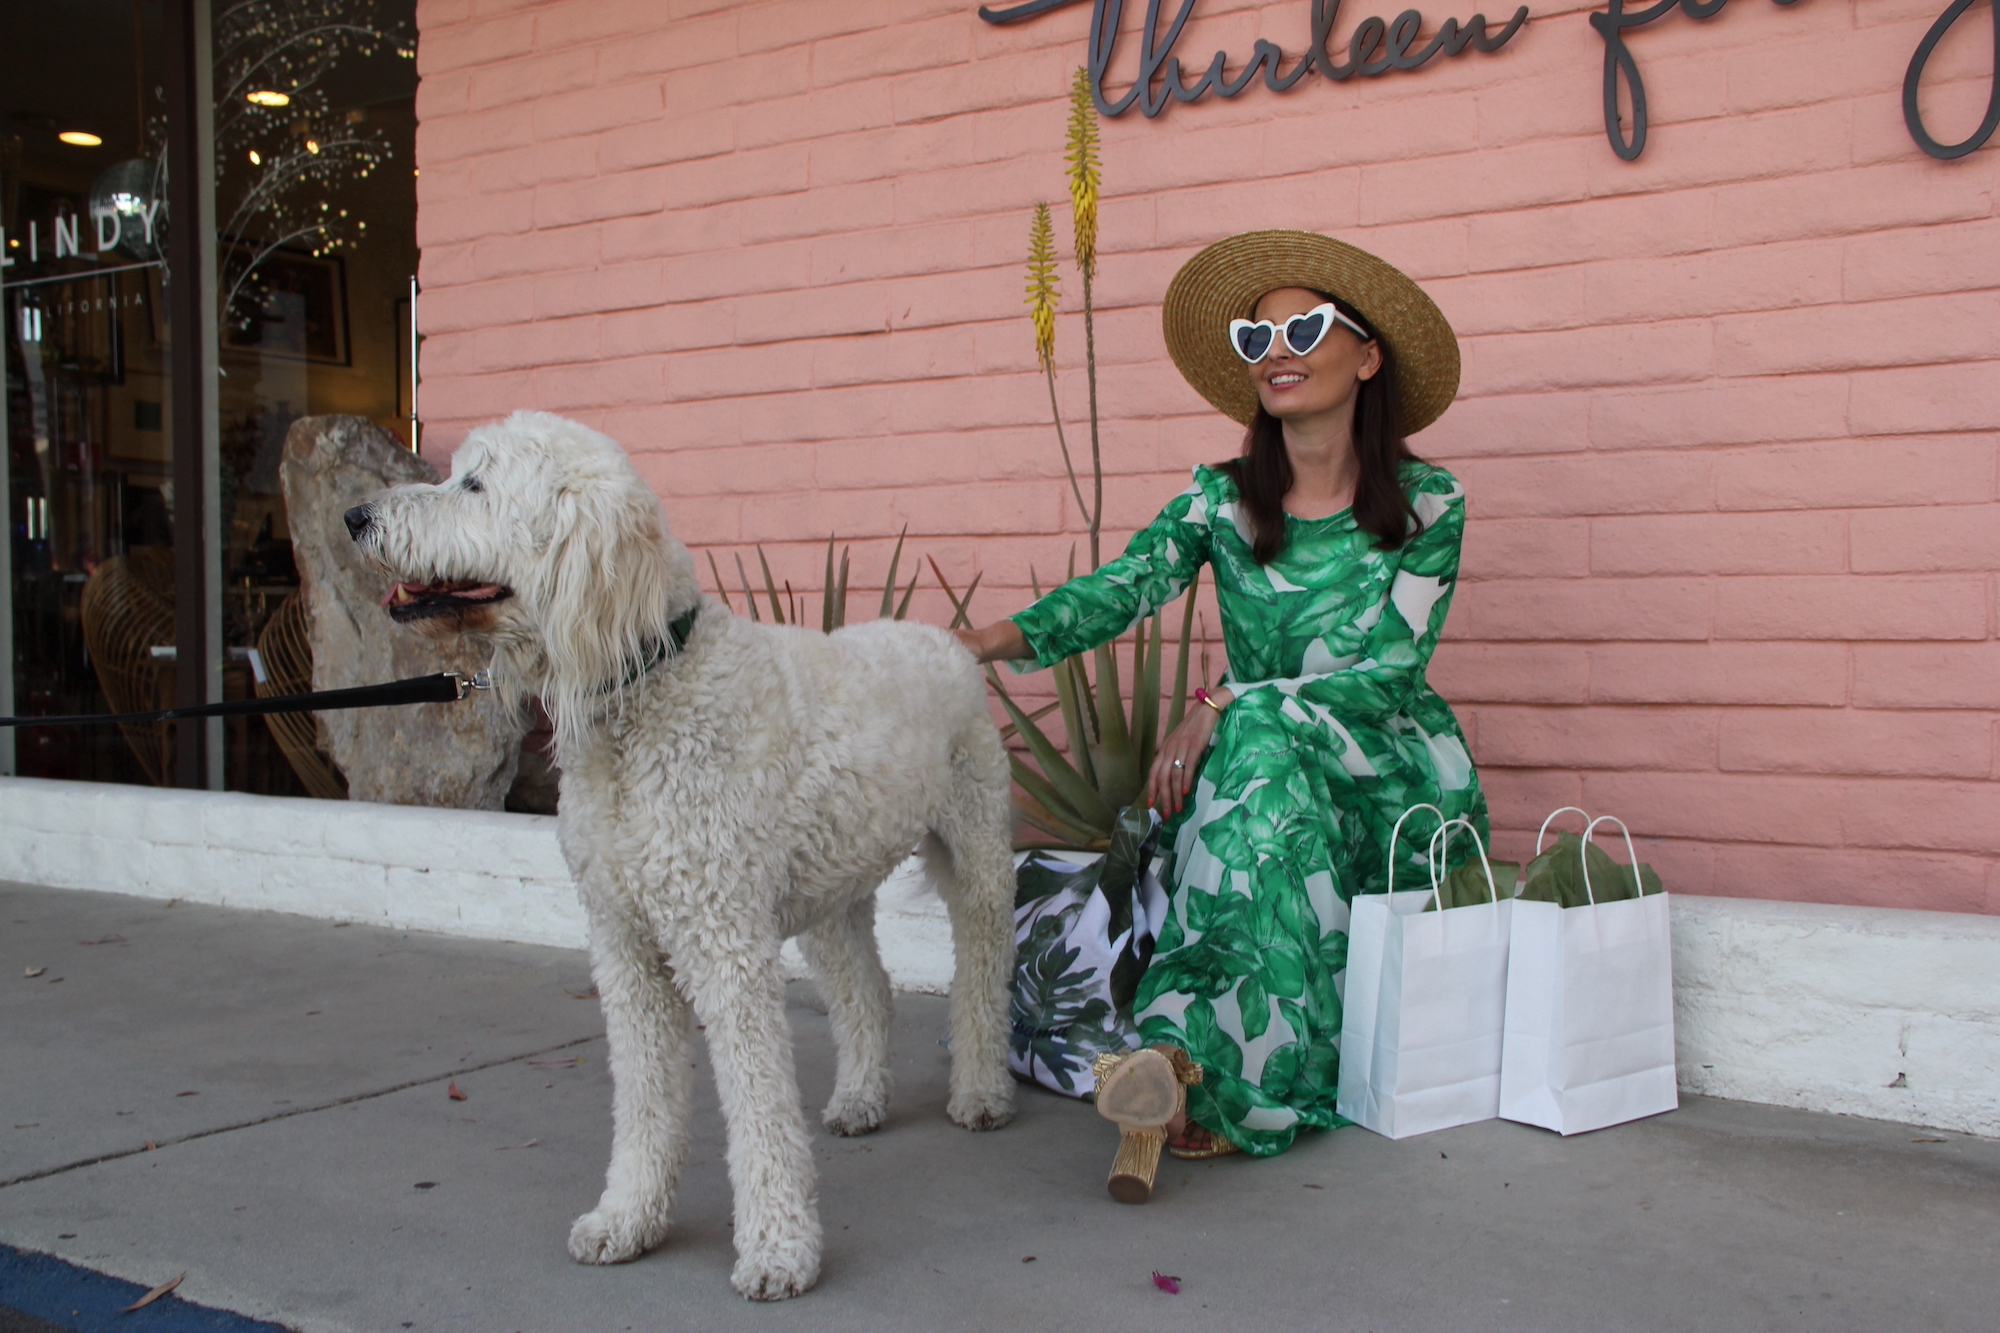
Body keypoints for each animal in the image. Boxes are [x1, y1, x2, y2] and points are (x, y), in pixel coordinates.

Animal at [342, 410, 1016, 1288]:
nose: (356, 517)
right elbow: (644, 1097)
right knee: (867, 988)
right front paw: (627, 1219)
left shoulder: (725, 944)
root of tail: (947, 639)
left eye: (476, 485)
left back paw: (982, 1092)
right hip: (832, 889)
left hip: (978, 855)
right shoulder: (623, 945)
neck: (646, 687)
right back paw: (862, 1097)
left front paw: (778, 1249)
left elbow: (759, 1105)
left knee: (981, 978)